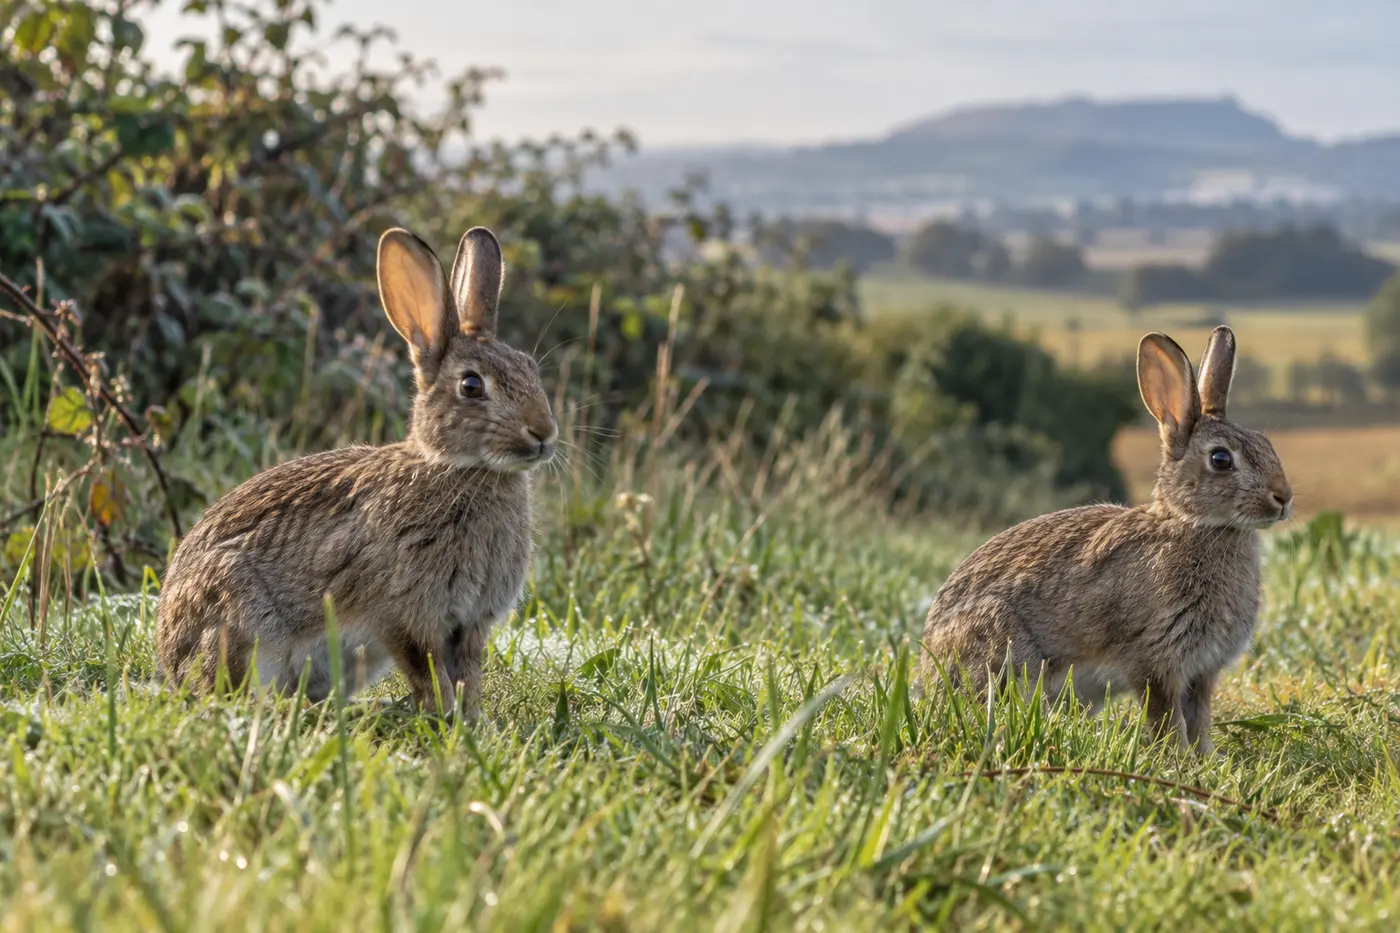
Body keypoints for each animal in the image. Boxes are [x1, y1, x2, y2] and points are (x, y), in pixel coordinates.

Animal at [157, 225, 558, 720]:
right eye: (471, 386)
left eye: (531, 368)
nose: (543, 432)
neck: (455, 467)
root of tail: (171, 663)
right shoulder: (405, 616)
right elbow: (429, 672)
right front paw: (447, 717)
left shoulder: (468, 625)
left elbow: (468, 675)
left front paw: (472, 721)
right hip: (241, 621)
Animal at [920, 325, 1292, 754]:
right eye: (1220, 460)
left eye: (1267, 446)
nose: (1283, 498)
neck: (1192, 523)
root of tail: (928, 669)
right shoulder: (1155, 658)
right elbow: (1168, 717)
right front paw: (1179, 758)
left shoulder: (1202, 671)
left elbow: (1198, 717)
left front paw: (1205, 758)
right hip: (1004, 645)